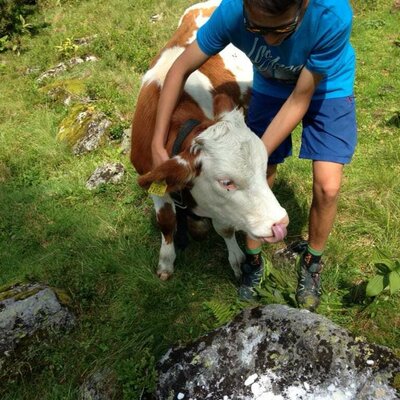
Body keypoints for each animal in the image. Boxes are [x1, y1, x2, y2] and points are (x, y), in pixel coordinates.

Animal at [130, 0, 290, 282]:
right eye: (226, 182)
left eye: (261, 168)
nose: (280, 222)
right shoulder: (152, 178)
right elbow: (166, 221)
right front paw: (166, 262)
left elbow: (224, 228)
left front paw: (237, 260)